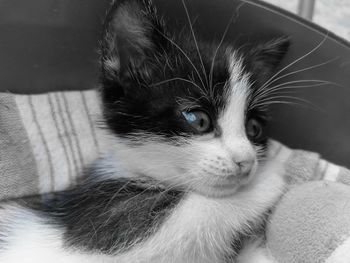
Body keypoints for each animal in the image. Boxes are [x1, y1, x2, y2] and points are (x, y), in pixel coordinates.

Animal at [0, 0, 290, 263]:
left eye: (254, 128)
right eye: (198, 120)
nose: (247, 162)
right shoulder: (106, 227)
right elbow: (200, 210)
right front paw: (274, 174)